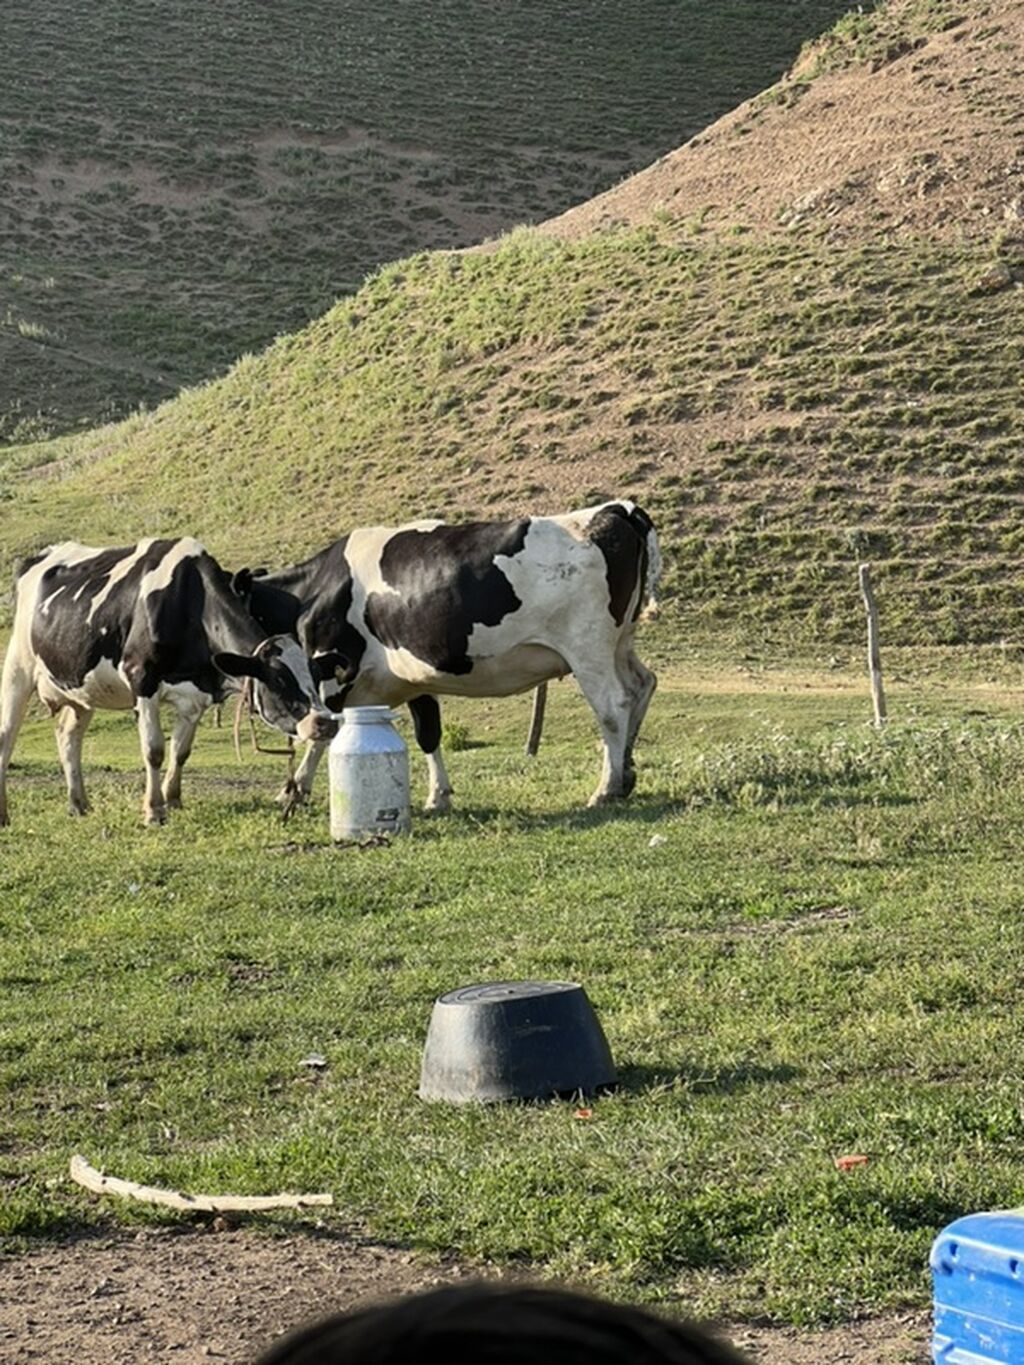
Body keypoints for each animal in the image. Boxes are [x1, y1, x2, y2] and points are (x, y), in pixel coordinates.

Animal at [0, 537, 337, 828]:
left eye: (315, 674)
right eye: (279, 679)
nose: (326, 721)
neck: (190, 601)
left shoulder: (195, 696)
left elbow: (181, 751)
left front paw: (173, 799)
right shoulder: (142, 678)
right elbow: (154, 750)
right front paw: (154, 810)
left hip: (79, 685)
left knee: (68, 735)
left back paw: (79, 803)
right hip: (18, 667)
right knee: (7, 736)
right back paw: (5, 814)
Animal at [242, 501, 660, 811]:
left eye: (277, 678)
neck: (313, 593)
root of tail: (615, 509)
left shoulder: (333, 670)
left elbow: (321, 732)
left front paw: (294, 789)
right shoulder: (414, 676)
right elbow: (429, 733)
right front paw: (438, 796)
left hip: (588, 648)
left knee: (613, 705)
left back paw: (606, 788)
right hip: (620, 643)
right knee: (642, 685)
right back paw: (626, 774)